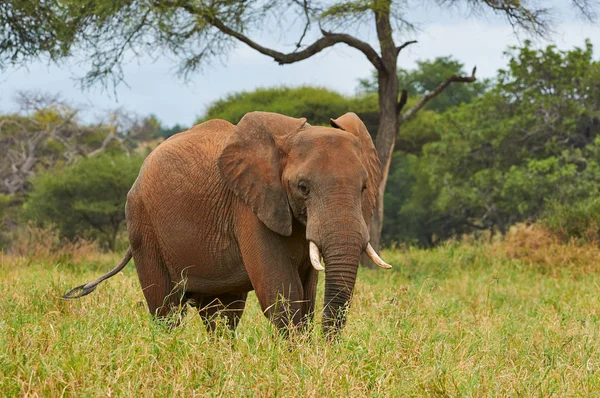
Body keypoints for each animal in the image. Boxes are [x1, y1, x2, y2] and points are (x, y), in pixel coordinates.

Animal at [63, 110, 392, 338]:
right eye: (303, 188)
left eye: (364, 187)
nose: (327, 348)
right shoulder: (249, 206)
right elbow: (281, 293)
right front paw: (300, 361)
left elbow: (306, 293)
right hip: (143, 224)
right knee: (166, 310)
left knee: (222, 315)